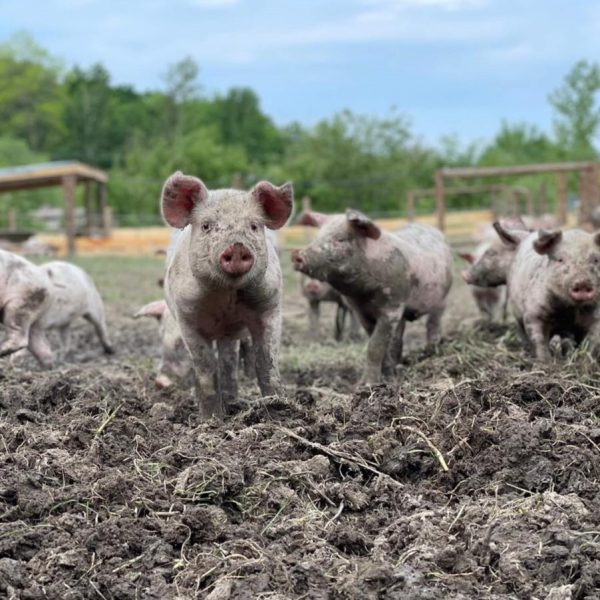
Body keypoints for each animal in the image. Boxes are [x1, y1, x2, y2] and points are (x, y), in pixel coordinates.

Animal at [158, 172, 292, 418]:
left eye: (254, 226)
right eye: (206, 226)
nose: (237, 246)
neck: (226, 298)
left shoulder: (270, 307)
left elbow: (266, 362)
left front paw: (279, 408)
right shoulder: (186, 317)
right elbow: (205, 368)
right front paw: (210, 419)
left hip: (231, 334)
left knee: (229, 362)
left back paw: (233, 402)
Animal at [292, 211, 452, 380]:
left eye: (341, 239)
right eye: (317, 237)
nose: (296, 254)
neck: (363, 294)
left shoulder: (393, 305)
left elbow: (375, 345)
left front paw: (367, 383)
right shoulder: (360, 310)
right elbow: (379, 343)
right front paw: (388, 376)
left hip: (442, 298)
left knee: (433, 324)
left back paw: (431, 352)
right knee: (398, 338)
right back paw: (398, 366)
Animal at [496, 221, 600, 358]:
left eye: (596, 260)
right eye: (560, 259)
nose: (583, 281)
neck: (569, 311)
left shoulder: (596, 314)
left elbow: (592, 341)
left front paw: (584, 360)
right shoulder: (533, 312)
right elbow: (538, 338)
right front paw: (545, 360)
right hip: (516, 311)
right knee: (522, 332)